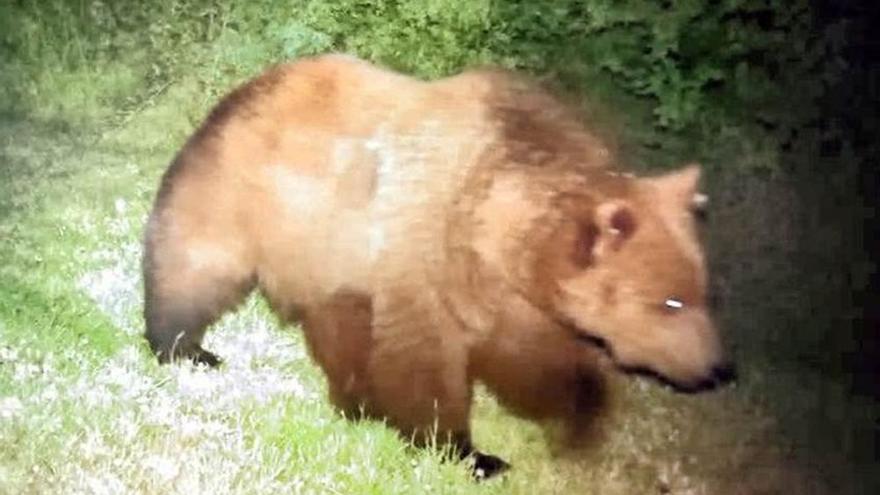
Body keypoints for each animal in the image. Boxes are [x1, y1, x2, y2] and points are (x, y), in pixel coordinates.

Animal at [142, 53, 733, 478]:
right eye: (670, 300)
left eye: (703, 292)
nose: (717, 367)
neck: (495, 226)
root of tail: (247, 86)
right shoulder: (424, 253)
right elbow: (424, 360)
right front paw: (469, 452)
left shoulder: (505, 294)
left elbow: (531, 356)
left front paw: (578, 413)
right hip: (241, 197)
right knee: (196, 266)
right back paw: (184, 346)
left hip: (329, 248)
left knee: (338, 322)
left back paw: (354, 401)